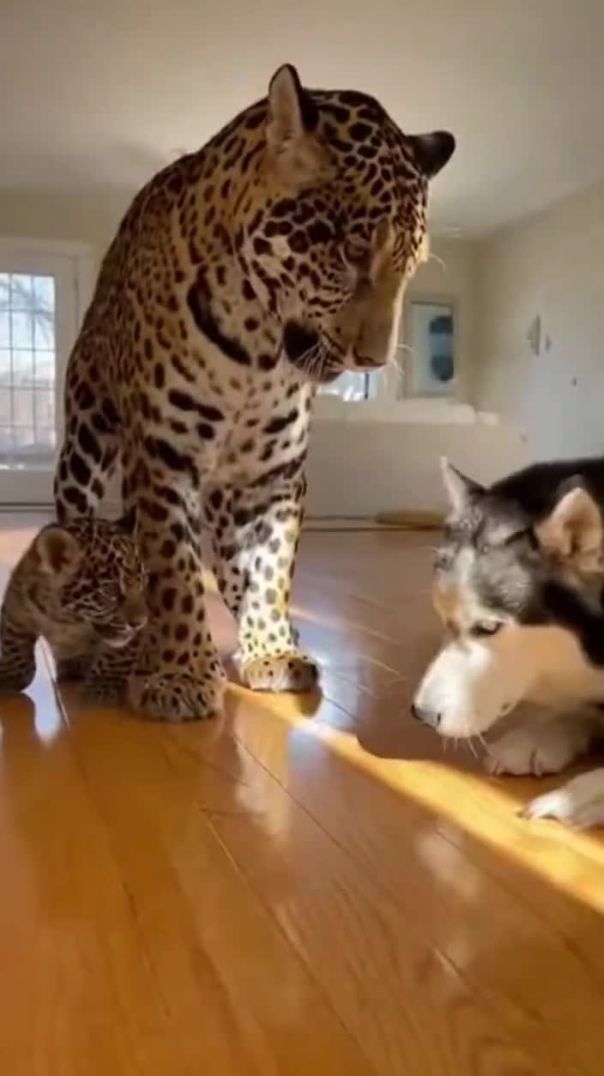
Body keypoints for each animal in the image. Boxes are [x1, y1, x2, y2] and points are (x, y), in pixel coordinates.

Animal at [0, 515, 147, 703]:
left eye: (142, 583)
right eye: (110, 590)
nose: (140, 623)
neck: (67, 618)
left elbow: (118, 656)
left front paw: (102, 687)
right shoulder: (16, 604)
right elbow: (13, 644)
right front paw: (9, 677)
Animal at [53, 63, 455, 721]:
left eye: (413, 267)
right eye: (352, 251)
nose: (373, 359)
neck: (257, 346)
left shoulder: (273, 476)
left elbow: (271, 569)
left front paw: (269, 648)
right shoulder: (163, 459)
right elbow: (173, 572)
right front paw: (182, 672)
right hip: (84, 445)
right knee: (77, 523)